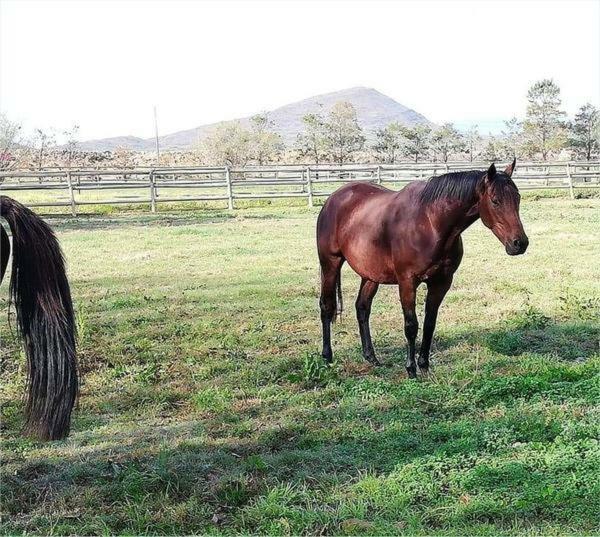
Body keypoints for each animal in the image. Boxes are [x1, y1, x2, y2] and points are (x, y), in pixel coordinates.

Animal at [316, 159, 528, 376]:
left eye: (517, 198)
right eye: (495, 201)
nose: (519, 243)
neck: (430, 224)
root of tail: (334, 198)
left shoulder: (441, 282)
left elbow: (429, 324)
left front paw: (424, 365)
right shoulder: (407, 282)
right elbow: (411, 325)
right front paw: (411, 369)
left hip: (370, 275)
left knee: (362, 308)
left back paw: (371, 357)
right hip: (330, 264)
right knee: (327, 306)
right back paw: (327, 357)